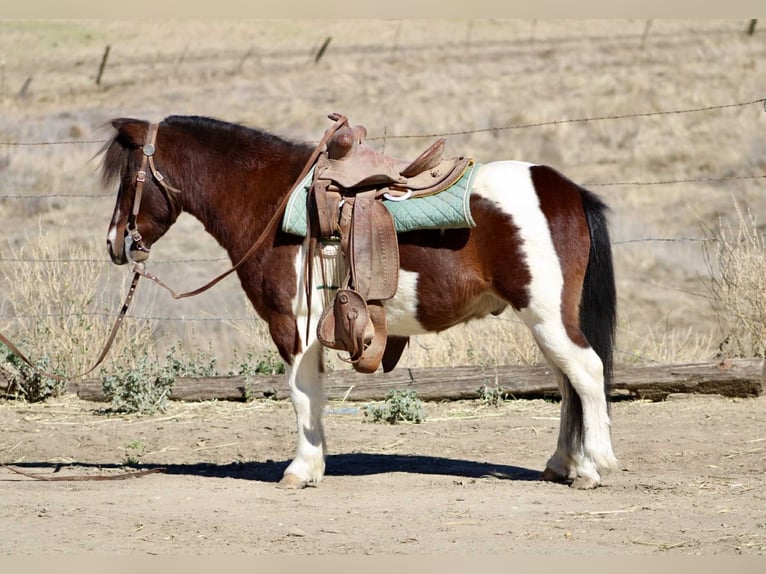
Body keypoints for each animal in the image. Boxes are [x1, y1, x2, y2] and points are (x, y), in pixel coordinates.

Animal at [101, 114, 619, 490]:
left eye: (129, 179)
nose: (114, 243)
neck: (272, 201)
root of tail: (568, 192)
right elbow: (311, 396)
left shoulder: (294, 326)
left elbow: (302, 395)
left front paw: (301, 470)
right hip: (546, 322)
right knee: (568, 384)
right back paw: (563, 464)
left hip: (548, 317)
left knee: (586, 373)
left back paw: (594, 467)